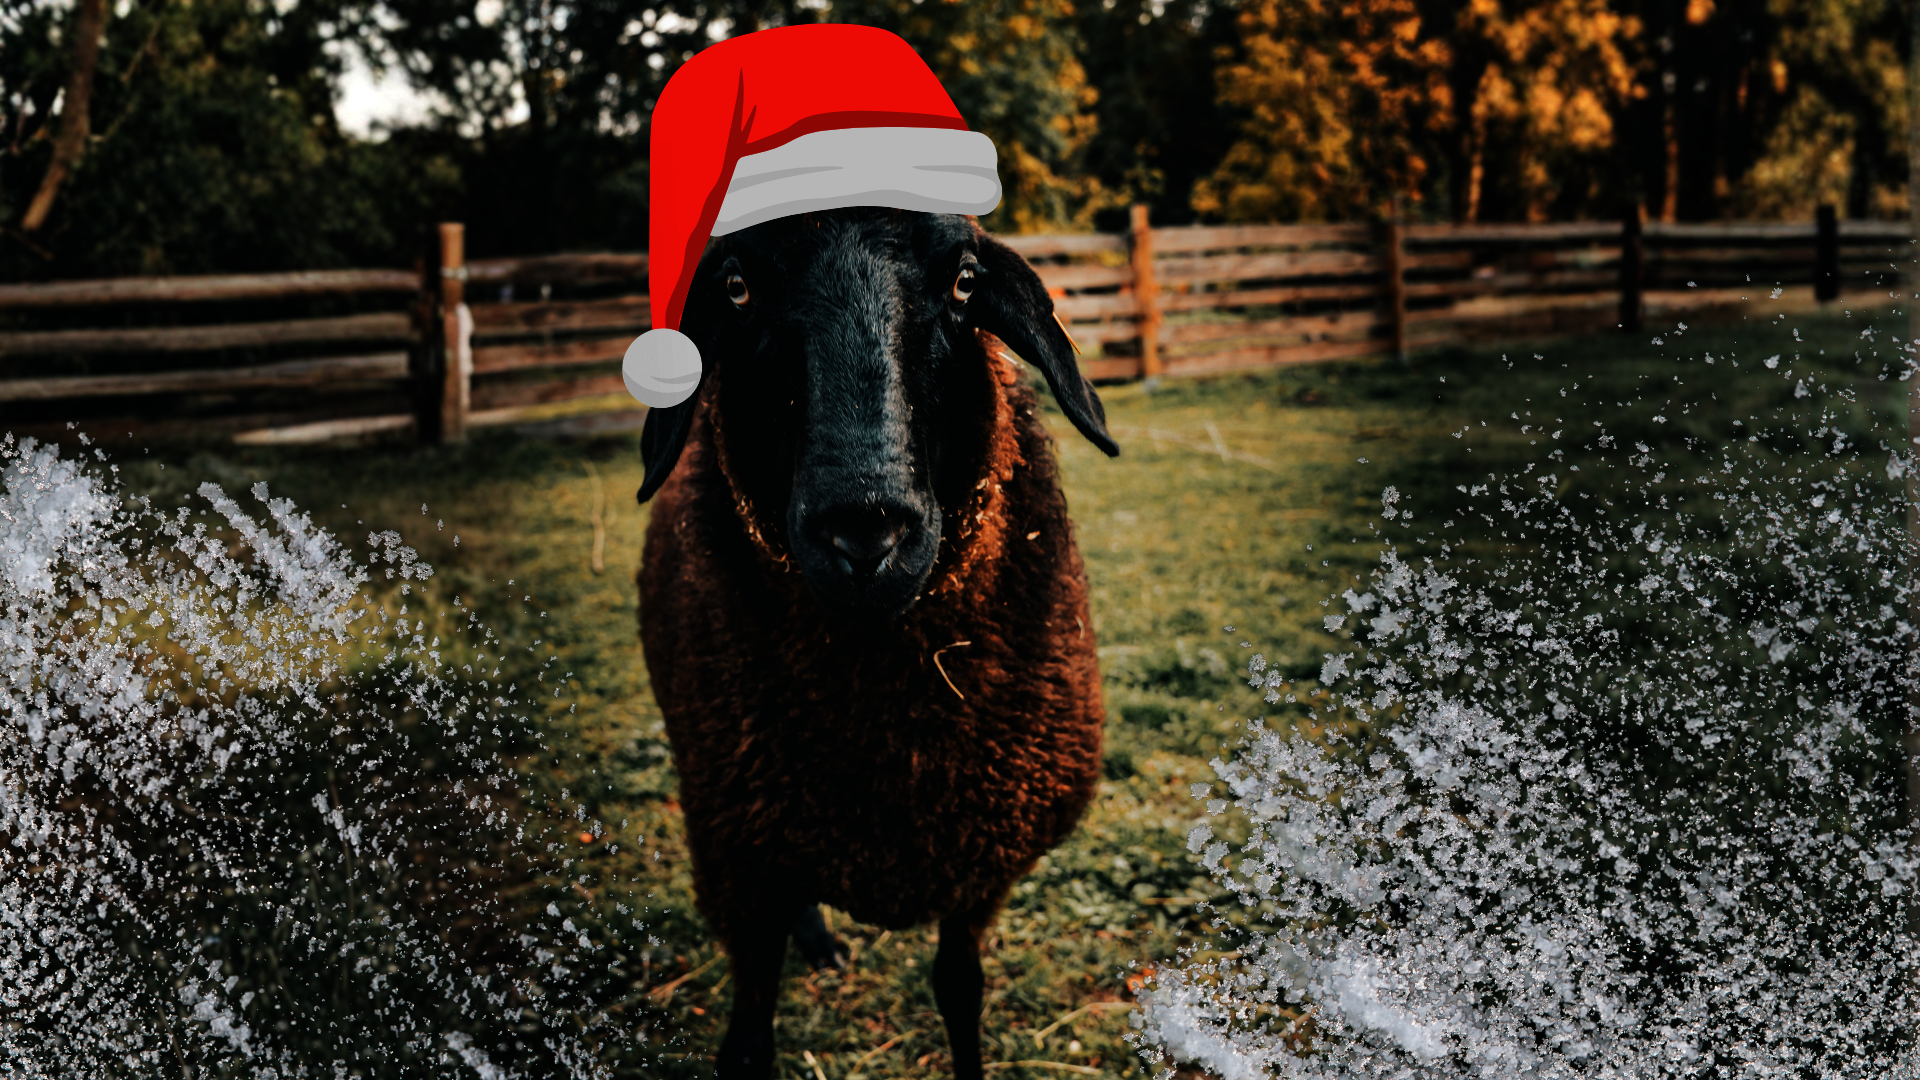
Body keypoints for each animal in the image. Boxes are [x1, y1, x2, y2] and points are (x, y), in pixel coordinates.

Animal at [635, 208, 1120, 1080]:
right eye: (737, 284)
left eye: (965, 280)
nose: (867, 531)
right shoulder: (740, 862)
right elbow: (747, 1039)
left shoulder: (978, 862)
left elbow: (960, 990)